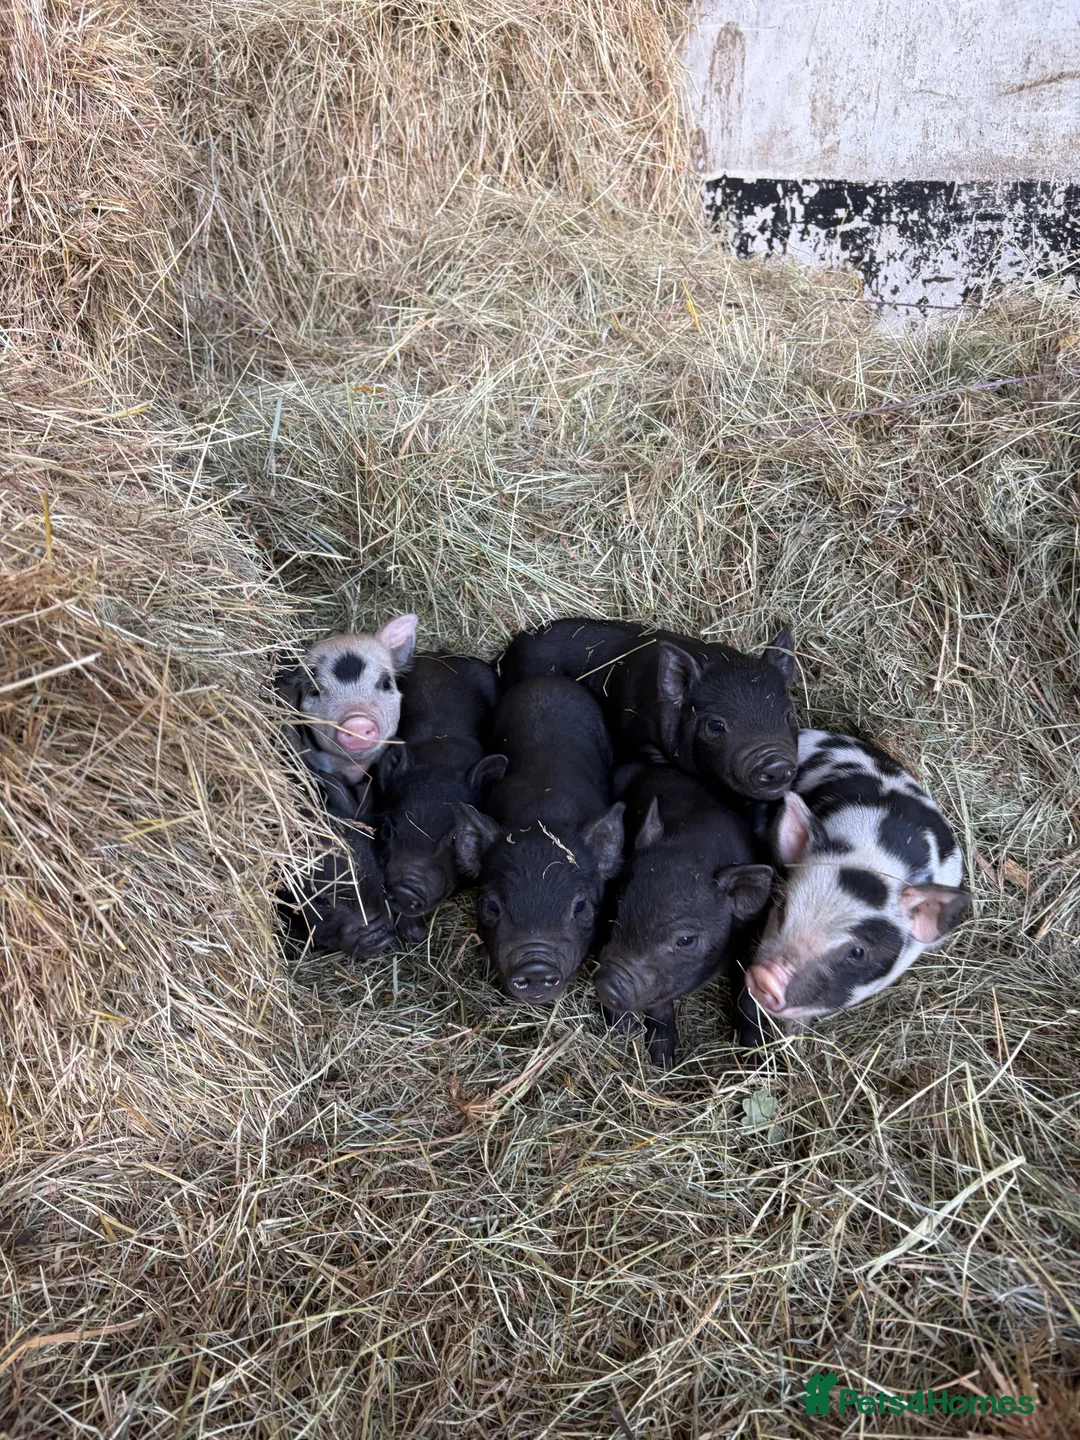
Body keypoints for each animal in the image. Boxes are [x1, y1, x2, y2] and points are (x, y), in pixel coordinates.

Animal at [594, 765, 774, 1067]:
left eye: (686, 940)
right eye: (618, 906)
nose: (608, 983)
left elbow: (748, 994)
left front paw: (756, 1059)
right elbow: (659, 1002)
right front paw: (663, 1061)